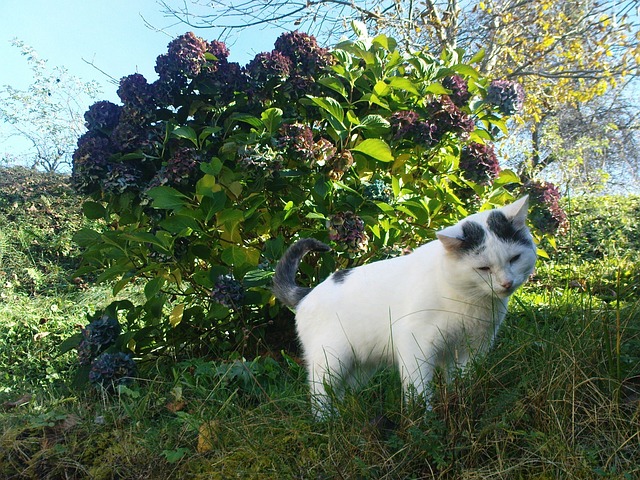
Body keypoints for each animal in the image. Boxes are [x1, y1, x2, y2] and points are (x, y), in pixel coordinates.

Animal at [272, 197, 536, 418]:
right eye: (483, 268)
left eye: (514, 258)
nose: (506, 283)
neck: (467, 298)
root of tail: (308, 293)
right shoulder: (416, 343)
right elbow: (418, 389)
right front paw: (424, 422)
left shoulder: (473, 346)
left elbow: (462, 380)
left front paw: (462, 403)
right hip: (331, 360)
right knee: (320, 394)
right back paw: (328, 423)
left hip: (358, 367)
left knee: (341, 393)